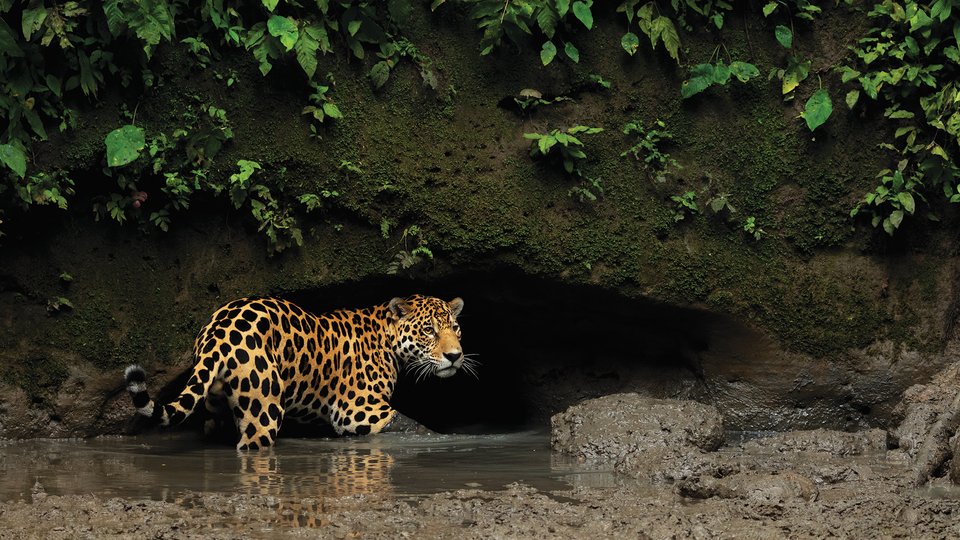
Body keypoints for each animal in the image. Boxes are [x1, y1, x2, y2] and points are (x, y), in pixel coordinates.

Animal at [124, 294, 469, 450]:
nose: (455, 356)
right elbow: (412, 425)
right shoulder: (359, 410)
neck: (386, 340)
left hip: (216, 401)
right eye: (429, 331)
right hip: (263, 411)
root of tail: (219, 330)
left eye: (455, 329)